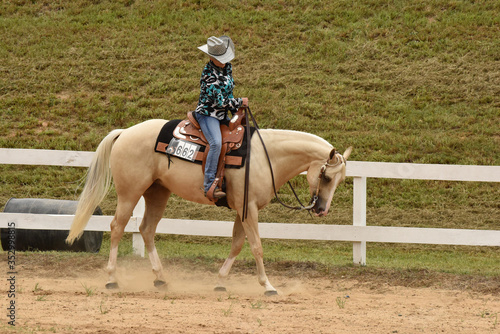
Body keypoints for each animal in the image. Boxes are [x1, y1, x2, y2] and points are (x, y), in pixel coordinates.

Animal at [66, 118, 354, 296]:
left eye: (340, 180)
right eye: (328, 177)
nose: (321, 209)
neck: (267, 157)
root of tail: (125, 132)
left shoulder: (242, 210)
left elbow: (237, 244)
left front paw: (220, 282)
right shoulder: (250, 209)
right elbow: (256, 246)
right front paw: (268, 286)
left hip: (157, 192)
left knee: (146, 229)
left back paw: (160, 278)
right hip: (130, 192)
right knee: (117, 227)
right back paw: (112, 279)